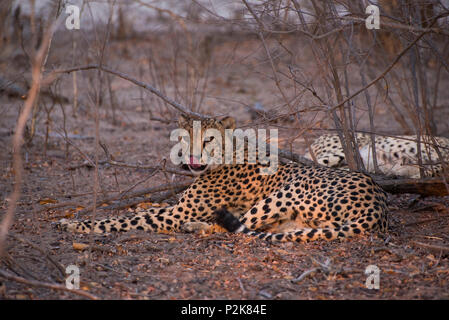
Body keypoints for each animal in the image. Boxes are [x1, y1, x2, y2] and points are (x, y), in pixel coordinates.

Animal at [58, 116, 388, 241]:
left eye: (208, 139)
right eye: (186, 136)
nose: (192, 156)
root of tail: (379, 203)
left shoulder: (176, 213)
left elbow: (122, 220)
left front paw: (74, 225)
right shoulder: (176, 207)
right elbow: (138, 211)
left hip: (281, 194)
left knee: (234, 227)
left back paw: (194, 227)